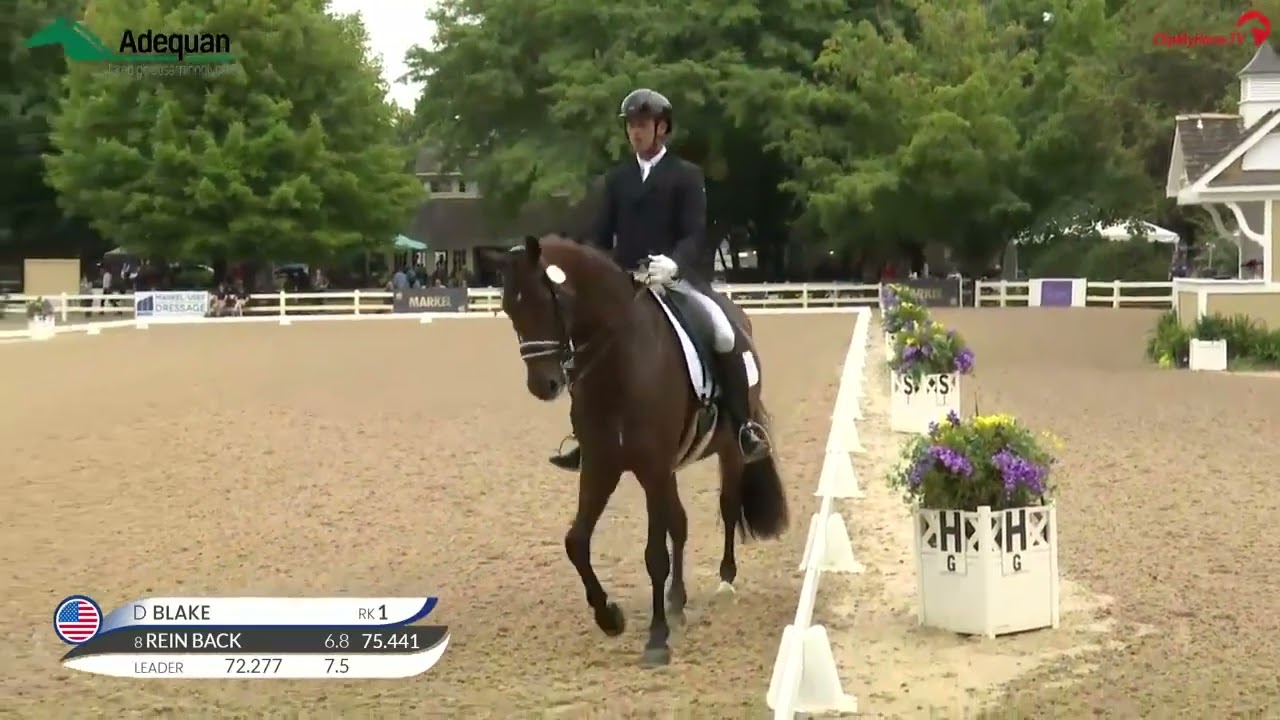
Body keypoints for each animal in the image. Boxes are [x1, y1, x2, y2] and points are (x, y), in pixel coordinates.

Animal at [495, 233, 790, 667]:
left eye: (548, 299)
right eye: (508, 307)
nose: (543, 385)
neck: (619, 362)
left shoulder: (651, 468)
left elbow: (654, 556)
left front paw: (656, 639)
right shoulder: (602, 465)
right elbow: (576, 542)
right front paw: (610, 617)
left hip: (728, 451)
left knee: (727, 507)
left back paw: (724, 581)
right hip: (669, 470)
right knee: (680, 524)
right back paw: (677, 601)